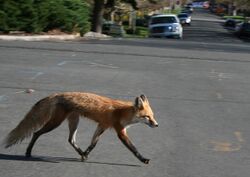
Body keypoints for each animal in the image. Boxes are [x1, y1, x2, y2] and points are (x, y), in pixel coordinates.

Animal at [3, 92, 158, 163]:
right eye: (147, 117)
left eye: (152, 116)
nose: (157, 125)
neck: (122, 112)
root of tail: (57, 94)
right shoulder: (119, 131)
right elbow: (133, 148)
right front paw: (143, 159)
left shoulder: (102, 126)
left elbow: (93, 144)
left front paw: (86, 154)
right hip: (55, 123)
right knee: (36, 133)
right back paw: (28, 152)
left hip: (74, 122)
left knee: (70, 140)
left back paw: (81, 153)